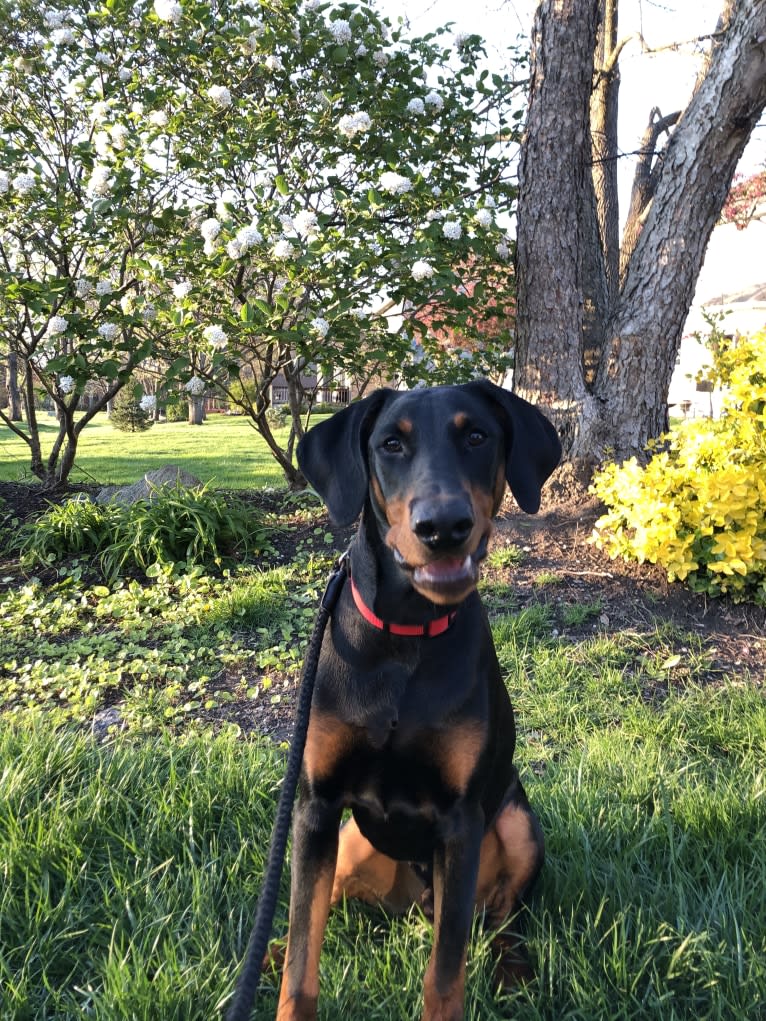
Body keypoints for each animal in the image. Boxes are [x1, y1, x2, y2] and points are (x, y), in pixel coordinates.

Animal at [273, 379, 559, 1016]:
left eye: (476, 435)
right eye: (390, 444)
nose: (443, 526)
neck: (405, 633)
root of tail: (414, 900)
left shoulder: (460, 822)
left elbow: (445, 974)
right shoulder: (316, 807)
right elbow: (302, 961)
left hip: (516, 826)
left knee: (503, 919)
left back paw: (514, 972)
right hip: (349, 845)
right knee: (315, 910)